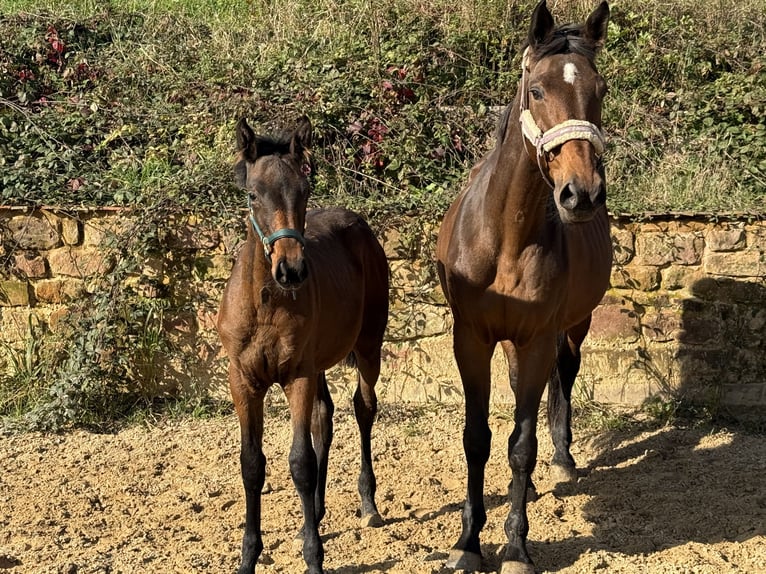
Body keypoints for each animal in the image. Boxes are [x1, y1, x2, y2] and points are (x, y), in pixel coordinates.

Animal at [219, 117, 390, 574]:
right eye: (252, 194)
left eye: (306, 189)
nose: (292, 270)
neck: (266, 303)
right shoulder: (243, 381)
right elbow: (252, 464)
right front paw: (248, 557)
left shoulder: (296, 376)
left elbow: (300, 462)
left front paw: (314, 558)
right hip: (320, 363)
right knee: (324, 419)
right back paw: (314, 513)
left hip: (368, 345)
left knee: (363, 408)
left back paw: (368, 504)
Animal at [438, 2, 612, 572]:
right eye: (536, 90)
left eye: (600, 89)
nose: (582, 193)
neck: (506, 238)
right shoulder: (471, 339)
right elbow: (477, 438)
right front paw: (468, 543)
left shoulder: (536, 340)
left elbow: (522, 445)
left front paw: (515, 546)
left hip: (574, 326)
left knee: (563, 380)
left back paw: (562, 460)